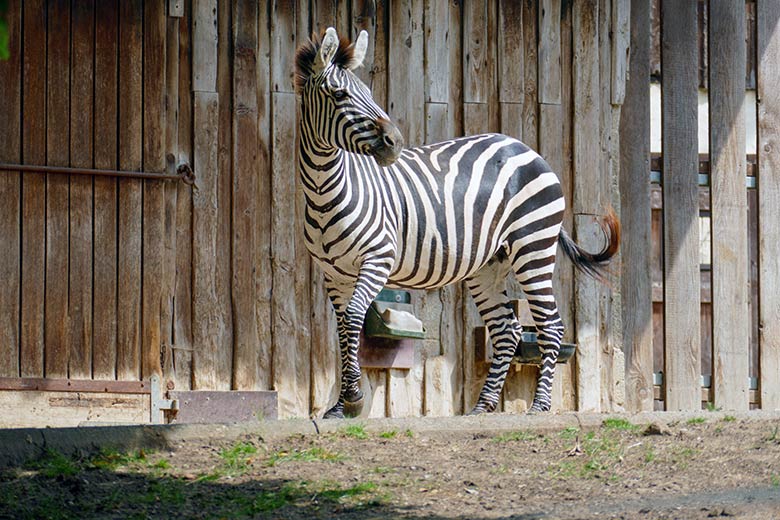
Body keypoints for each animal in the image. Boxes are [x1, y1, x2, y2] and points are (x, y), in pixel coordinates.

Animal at [296, 27, 620, 418]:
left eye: (370, 93)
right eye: (340, 94)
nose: (395, 142)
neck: (324, 189)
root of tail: (527, 148)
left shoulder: (377, 259)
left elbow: (356, 317)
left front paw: (354, 399)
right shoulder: (334, 274)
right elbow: (345, 329)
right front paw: (341, 405)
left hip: (533, 247)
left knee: (550, 326)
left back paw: (539, 406)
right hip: (488, 265)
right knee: (506, 330)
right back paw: (482, 407)